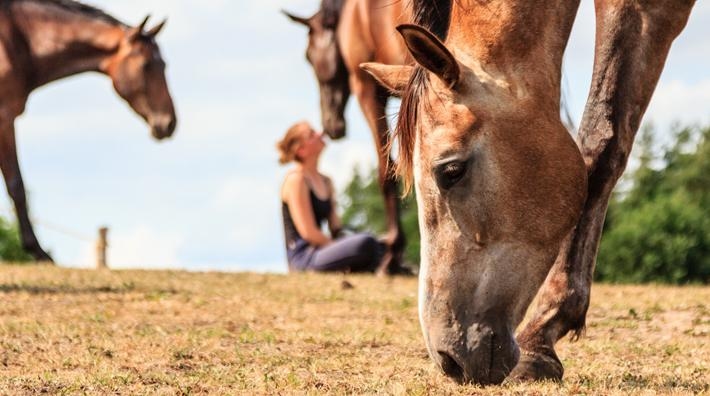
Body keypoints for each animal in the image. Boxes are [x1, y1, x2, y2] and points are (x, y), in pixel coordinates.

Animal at [0, 1, 177, 264]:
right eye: (147, 66)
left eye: (164, 64)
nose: (170, 123)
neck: (17, 39)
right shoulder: (5, 116)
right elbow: (17, 186)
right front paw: (39, 252)